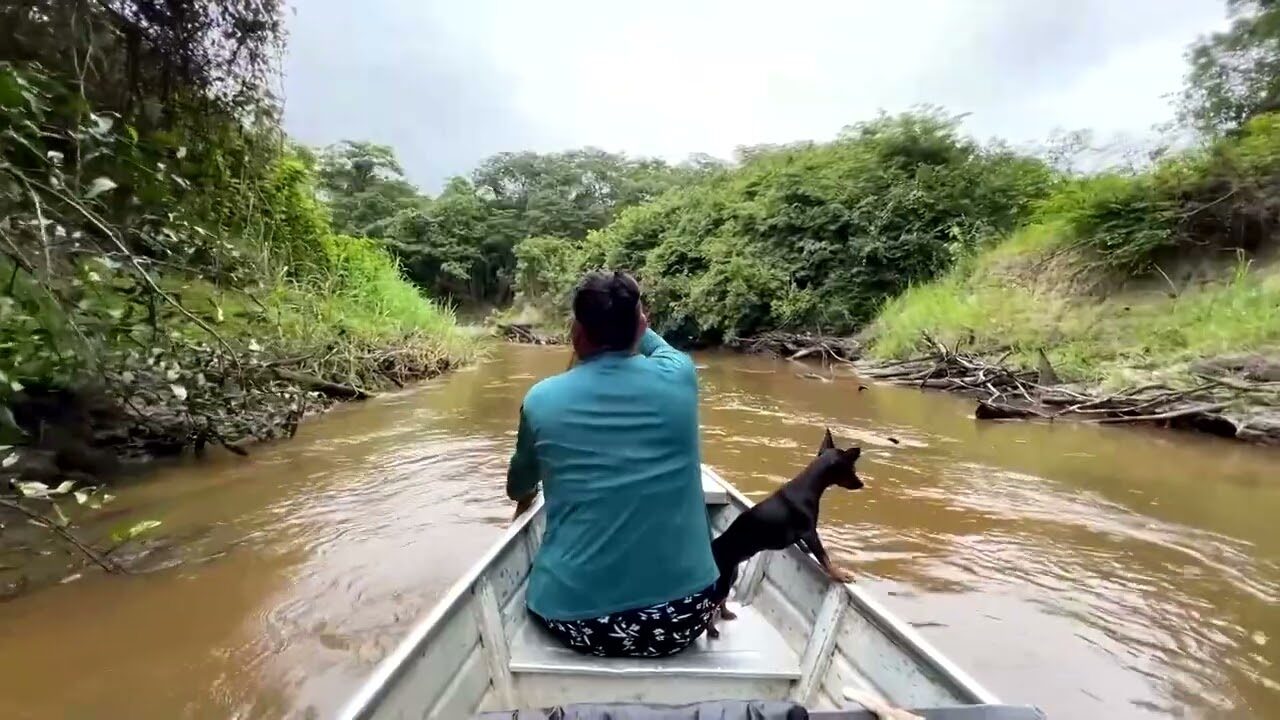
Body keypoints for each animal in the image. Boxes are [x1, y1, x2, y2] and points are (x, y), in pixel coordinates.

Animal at [706, 425, 865, 632]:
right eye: (852, 469)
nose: (862, 484)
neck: (808, 487)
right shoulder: (810, 532)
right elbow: (825, 558)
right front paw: (840, 574)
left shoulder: (805, 535)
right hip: (723, 580)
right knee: (710, 608)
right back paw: (712, 630)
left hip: (731, 575)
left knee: (720, 602)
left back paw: (725, 614)